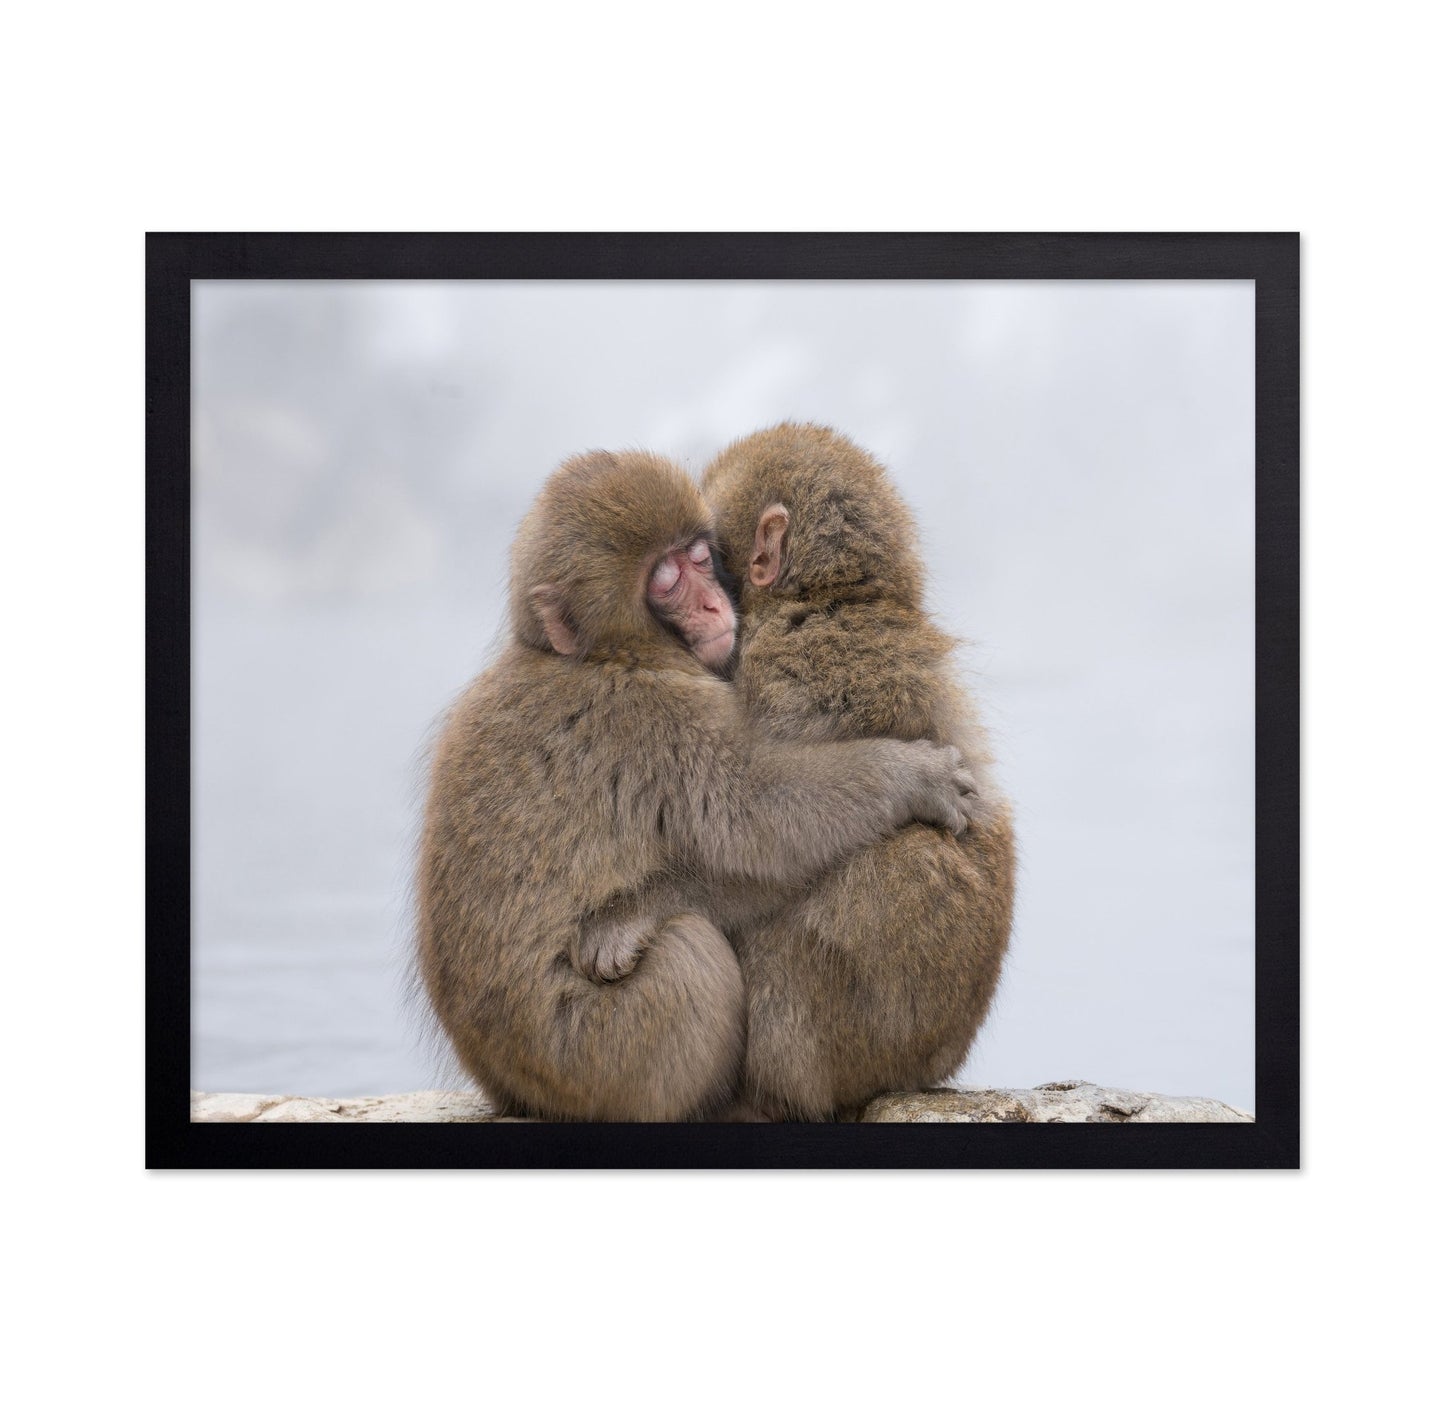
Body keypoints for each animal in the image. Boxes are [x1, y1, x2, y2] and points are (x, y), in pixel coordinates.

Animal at [415, 448, 980, 1122]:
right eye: (666, 580)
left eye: (699, 557)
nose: (713, 604)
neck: (597, 654)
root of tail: (515, 1091)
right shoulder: (651, 713)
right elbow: (760, 822)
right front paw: (915, 777)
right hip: (605, 1057)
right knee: (691, 947)